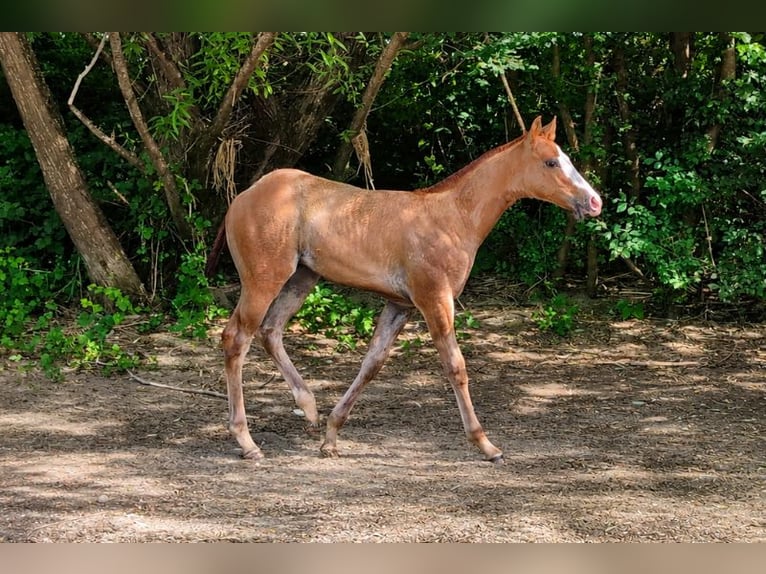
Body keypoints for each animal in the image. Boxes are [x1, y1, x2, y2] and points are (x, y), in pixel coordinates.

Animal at [206, 116, 602, 464]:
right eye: (551, 162)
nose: (594, 201)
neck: (454, 217)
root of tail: (243, 196)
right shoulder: (435, 299)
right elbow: (455, 366)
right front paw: (486, 445)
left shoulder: (400, 305)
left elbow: (372, 363)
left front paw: (331, 437)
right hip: (264, 280)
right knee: (236, 338)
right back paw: (247, 442)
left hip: (301, 278)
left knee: (271, 331)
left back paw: (309, 408)